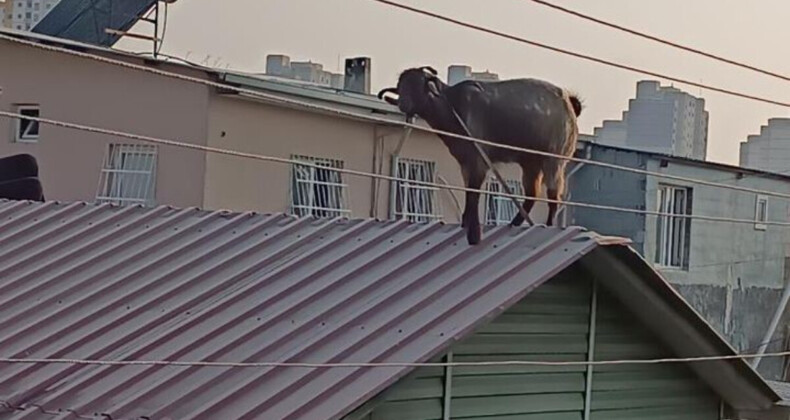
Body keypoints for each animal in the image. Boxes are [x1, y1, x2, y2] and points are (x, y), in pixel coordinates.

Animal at [378, 67, 580, 244]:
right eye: (401, 86)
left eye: (418, 84)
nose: (403, 103)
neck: (452, 105)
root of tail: (568, 101)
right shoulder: (465, 161)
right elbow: (469, 189)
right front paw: (465, 221)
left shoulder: (478, 158)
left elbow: (474, 191)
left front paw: (472, 230)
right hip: (530, 161)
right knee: (532, 194)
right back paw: (514, 223)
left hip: (554, 158)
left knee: (553, 194)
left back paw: (549, 224)